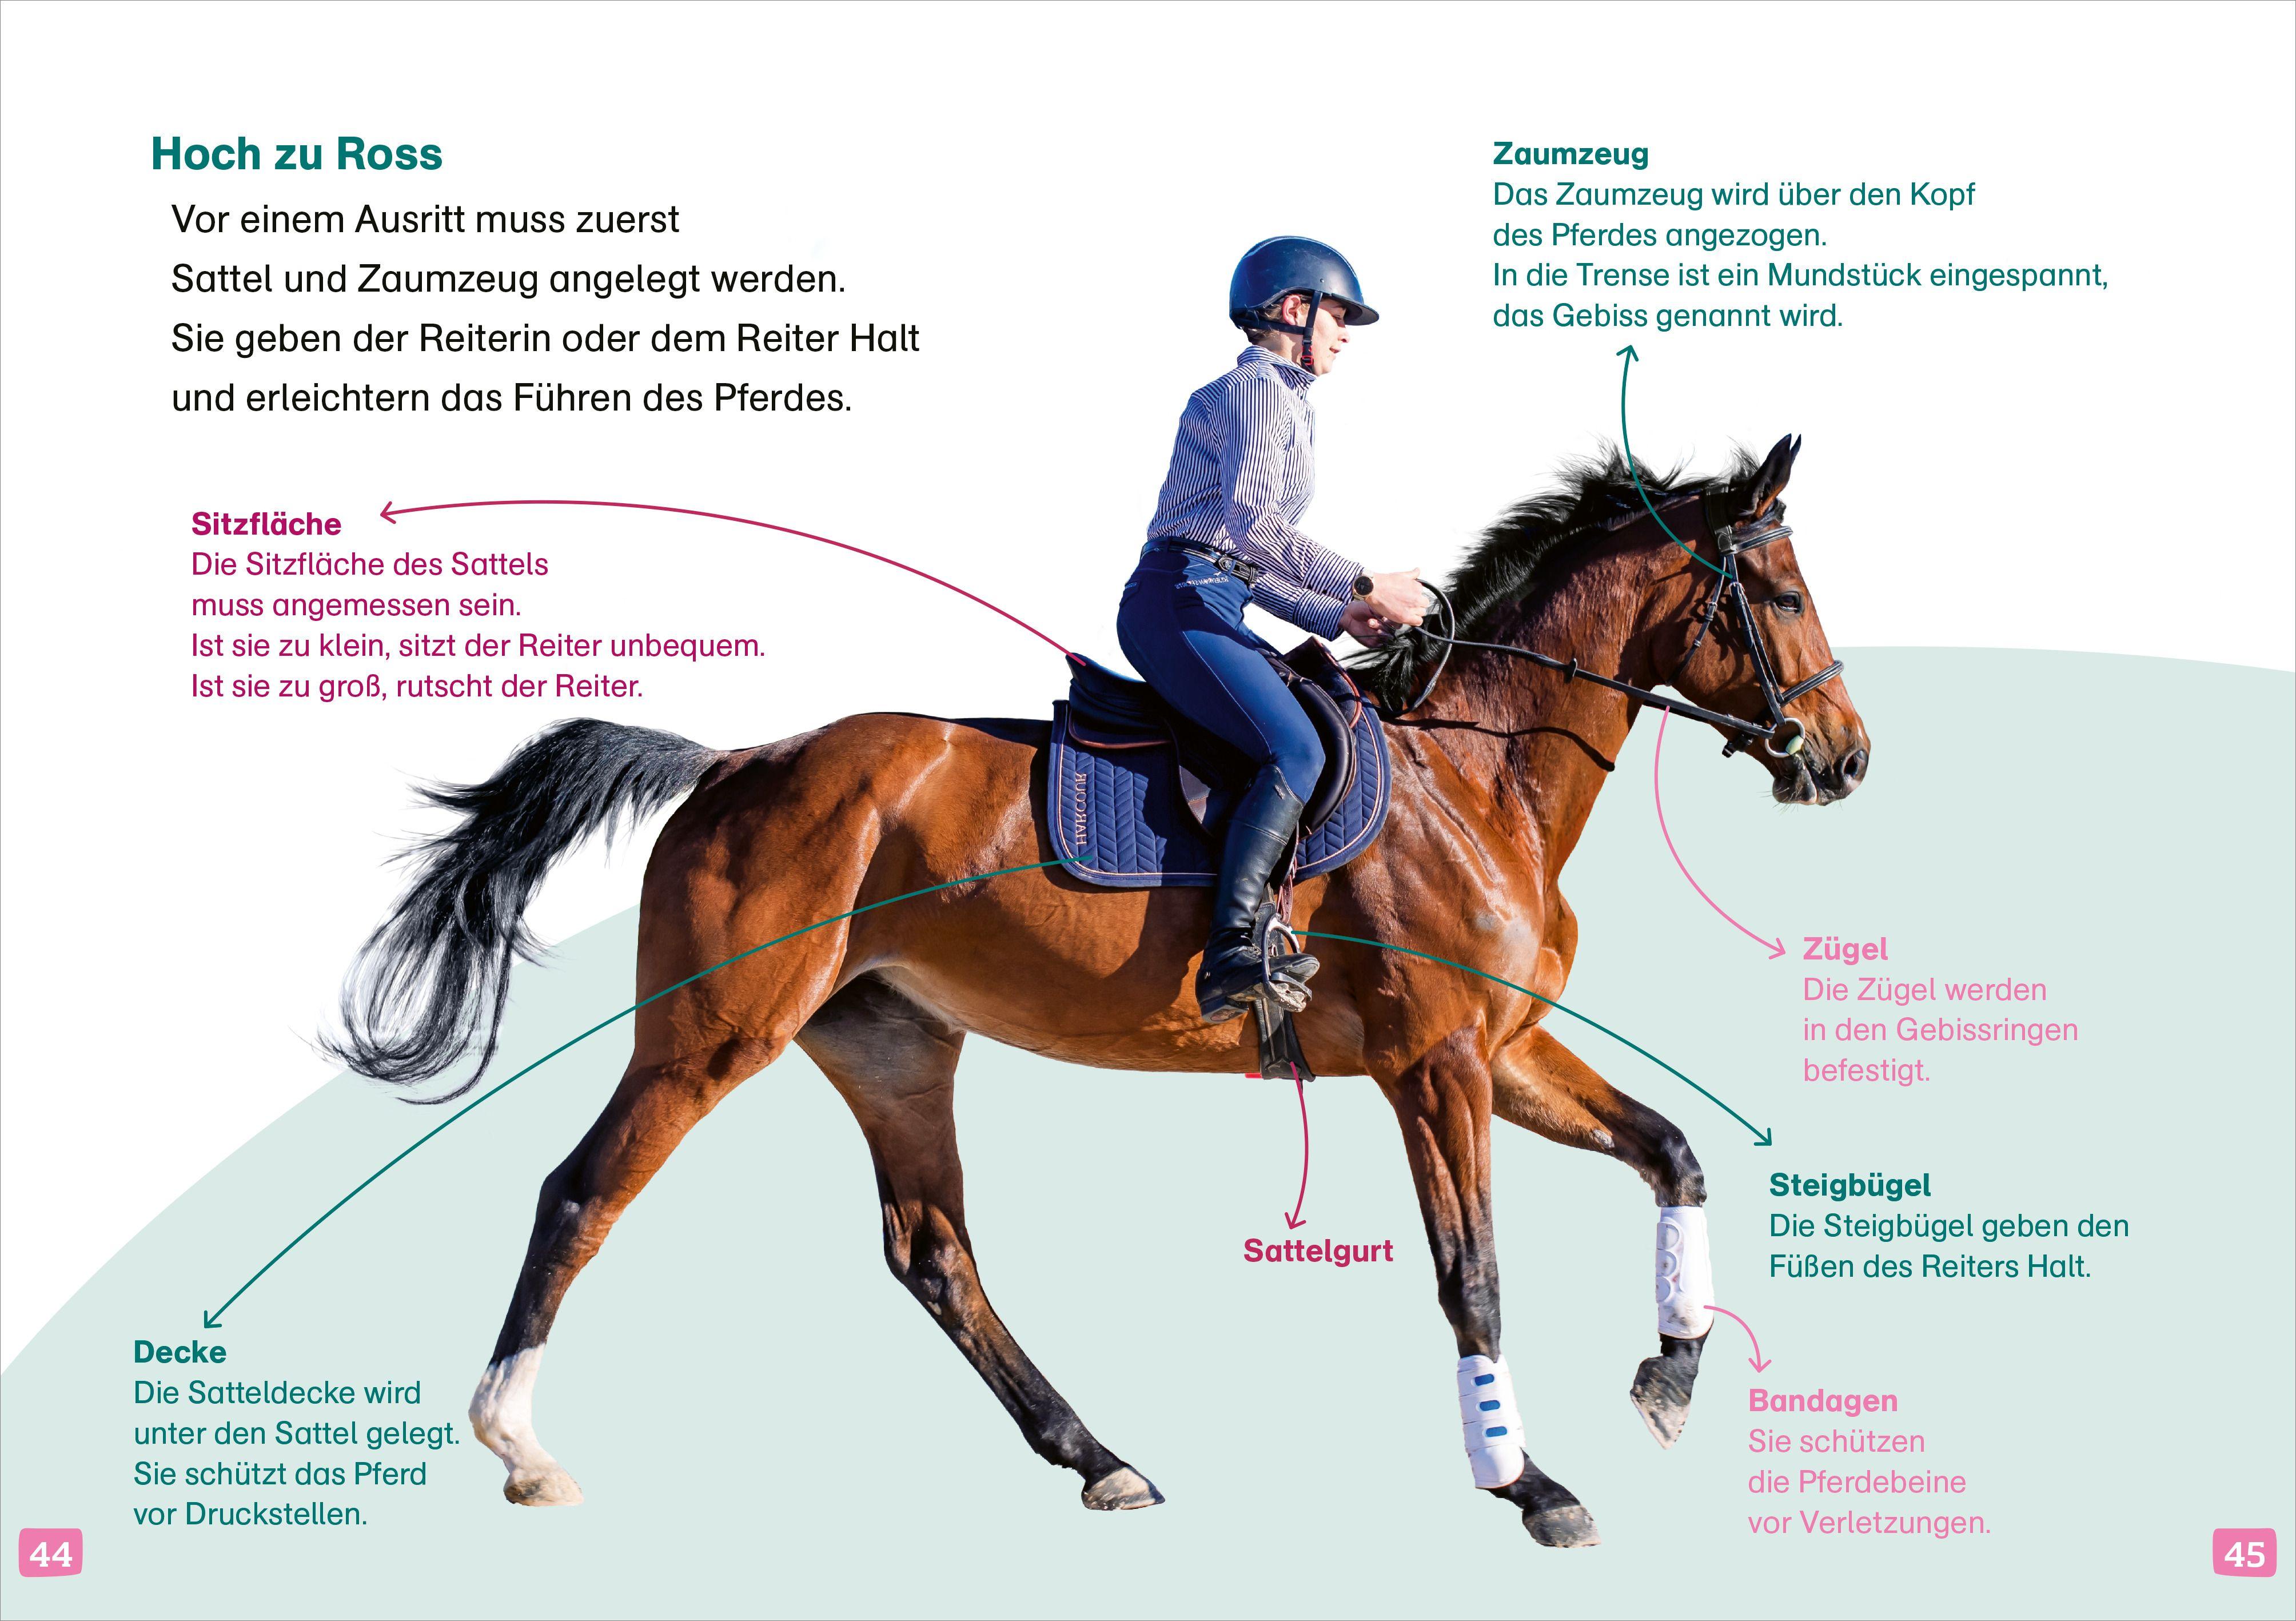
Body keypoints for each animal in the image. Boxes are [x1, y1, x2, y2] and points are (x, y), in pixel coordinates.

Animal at [329, 433, 1868, 1546]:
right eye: (1782, 595)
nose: (1845, 757)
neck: (1477, 769)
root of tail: (733, 764)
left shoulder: (1505, 1049)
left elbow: (1670, 1152)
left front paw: (1667, 1376)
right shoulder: (1434, 1064)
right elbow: (1472, 1274)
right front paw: (1527, 1486)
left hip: (891, 1042)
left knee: (931, 1251)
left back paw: (1097, 1456)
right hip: (715, 1033)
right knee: (582, 1192)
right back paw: (519, 1445)